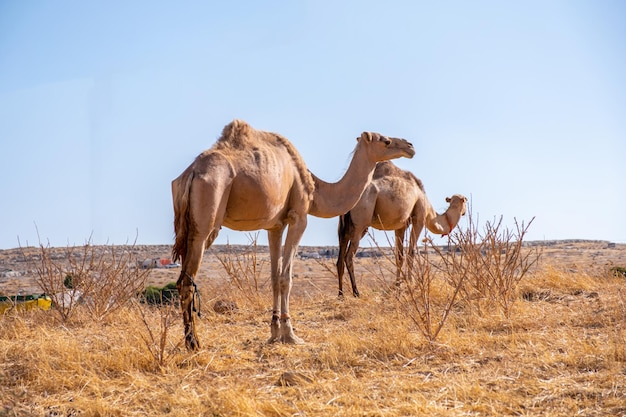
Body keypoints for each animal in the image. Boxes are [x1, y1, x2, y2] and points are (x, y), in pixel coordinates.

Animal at [172, 119, 414, 348]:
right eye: (386, 141)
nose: (410, 146)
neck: (315, 190)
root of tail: (191, 173)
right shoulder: (299, 217)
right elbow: (286, 277)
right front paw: (290, 334)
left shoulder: (275, 226)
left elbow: (274, 276)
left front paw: (274, 332)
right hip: (207, 216)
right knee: (187, 281)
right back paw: (193, 343)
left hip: (187, 228)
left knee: (182, 278)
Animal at [336, 161, 464, 298]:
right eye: (465, 200)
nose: (464, 212)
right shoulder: (419, 218)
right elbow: (411, 252)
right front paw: (411, 284)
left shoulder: (400, 226)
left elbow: (399, 256)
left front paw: (398, 287)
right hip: (360, 222)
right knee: (348, 256)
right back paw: (356, 292)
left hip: (345, 225)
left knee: (340, 256)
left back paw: (340, 295)